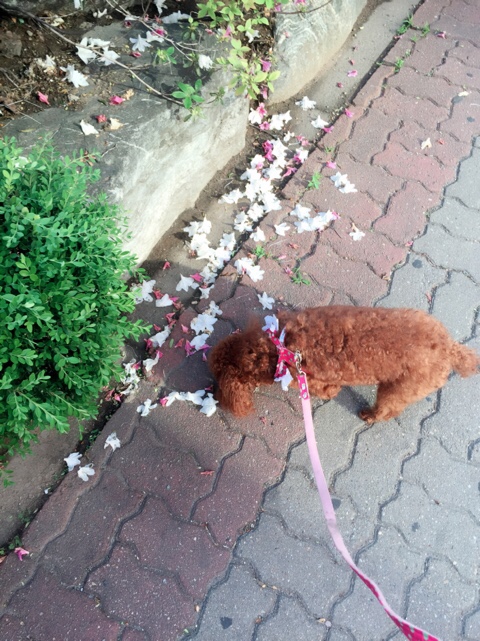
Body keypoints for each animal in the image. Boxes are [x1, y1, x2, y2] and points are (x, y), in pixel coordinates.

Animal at [208, 306, 479, 423]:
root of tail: (449, 348)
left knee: (387, 410)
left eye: (217, 378)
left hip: (398, 390)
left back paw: (369, 415)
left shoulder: (311, 381)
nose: (213, 395)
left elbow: (328, 390)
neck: (280, 348)